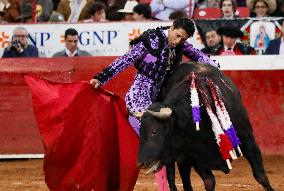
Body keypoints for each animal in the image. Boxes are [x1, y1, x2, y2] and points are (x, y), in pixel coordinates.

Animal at [138, 62, 276, 190]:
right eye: (140, 132)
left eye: (154, 131)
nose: (140, 163)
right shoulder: (193, 155)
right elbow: (209, 181)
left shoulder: (248, 140)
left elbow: (260, 176)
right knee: (181, 178)